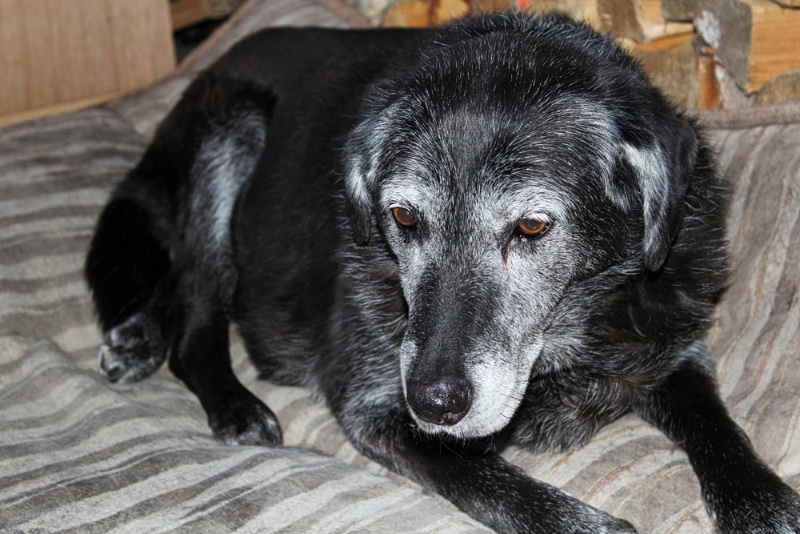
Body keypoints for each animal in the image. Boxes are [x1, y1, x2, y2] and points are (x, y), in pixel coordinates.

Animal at [84, 12, 796, 534]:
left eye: (531, 227)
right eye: (402, 216)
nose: (433, 402)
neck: (569, 334)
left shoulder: (674, 350)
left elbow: (719, 427)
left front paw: (765, 506)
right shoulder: (373, 408)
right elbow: (490, 481)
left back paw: (137, 336)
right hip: (231, 131)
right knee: (198, 307)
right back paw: (227, 399)